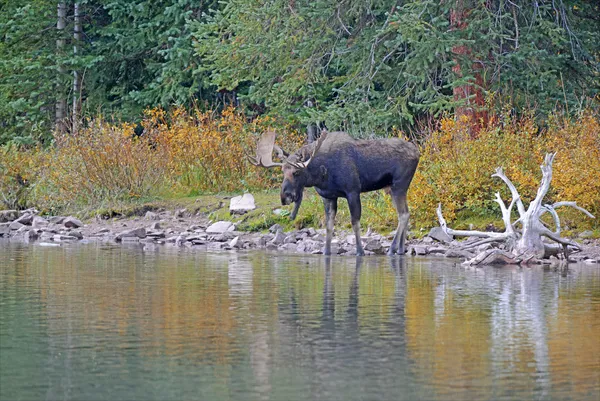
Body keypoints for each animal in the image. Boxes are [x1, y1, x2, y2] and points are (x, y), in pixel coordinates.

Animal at [246, 130, 420, 255]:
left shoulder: (353, 191)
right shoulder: (328, 196)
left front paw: (360, 251)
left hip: (399, 184)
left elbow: (355, 222)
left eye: (296, 172)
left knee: (403, 214)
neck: (320, 175)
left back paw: (392, 249)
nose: (285, 197)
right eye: (282, 171)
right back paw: (400, 250)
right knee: (406, 212)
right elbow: (329, 226)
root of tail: (418, 152)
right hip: (394, 187)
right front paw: (326, 251)